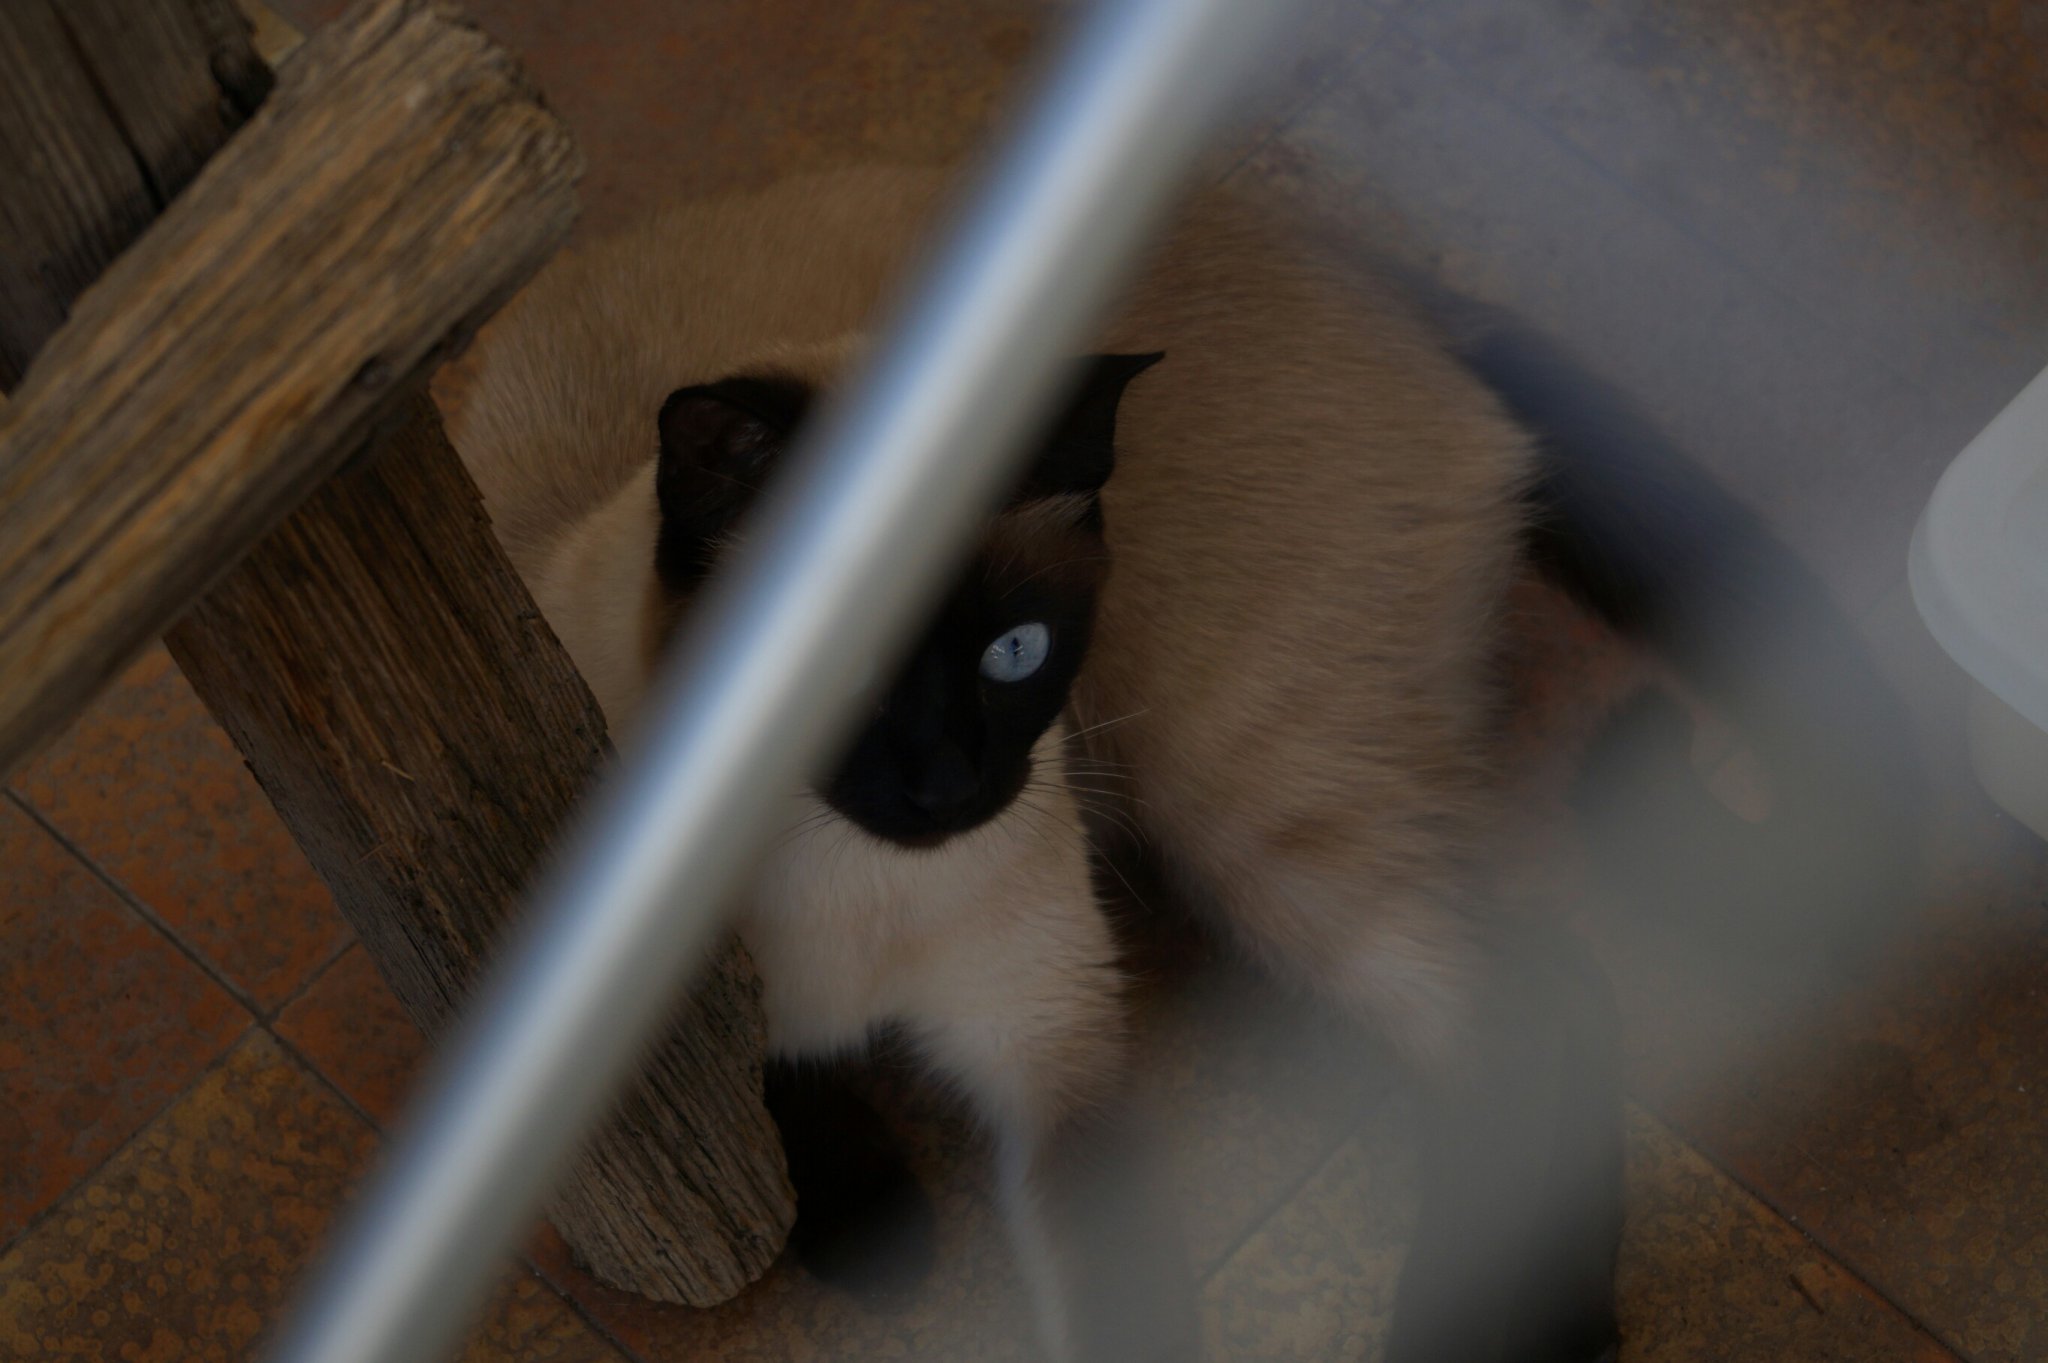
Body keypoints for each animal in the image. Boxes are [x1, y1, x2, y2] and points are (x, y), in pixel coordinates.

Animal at [451, 164, 1920, 1363]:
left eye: (1014, 649)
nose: (950, 785)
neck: (853, 885)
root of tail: (1388, 278)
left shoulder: (1054, 1055)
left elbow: (1120, 1302)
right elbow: (760, 1084)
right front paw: (874, 1235)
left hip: (1238, 804)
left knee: (1535, 1003)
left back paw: (1499, 1335)